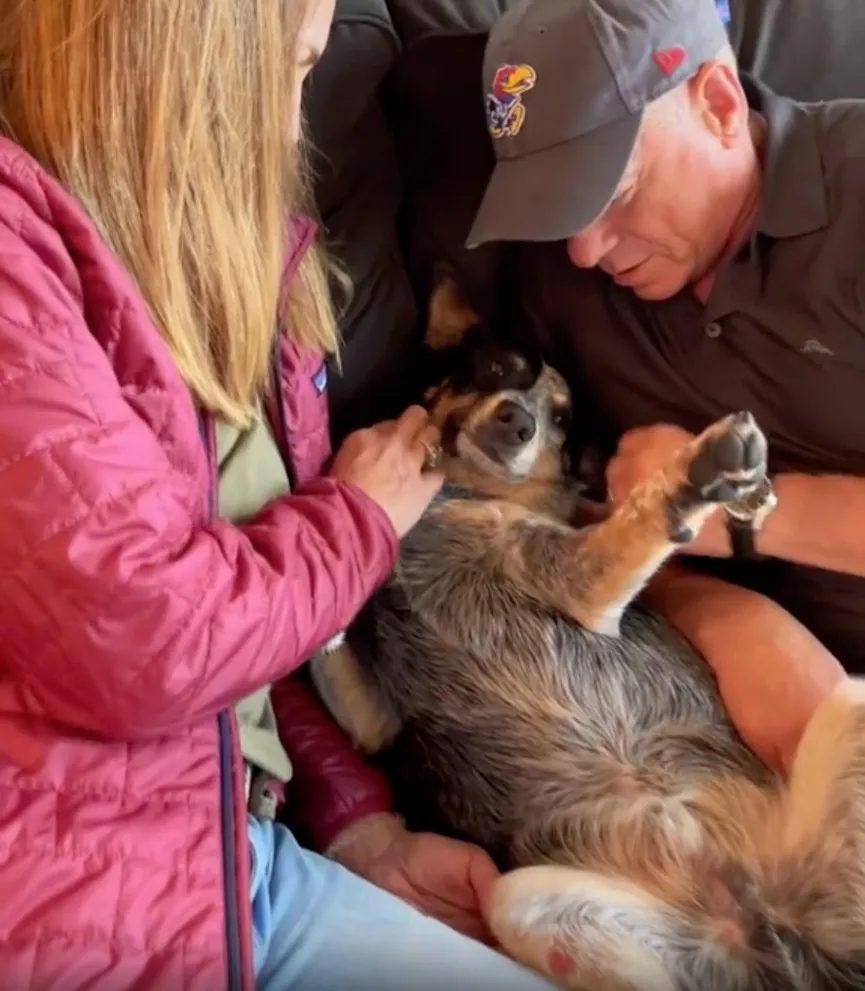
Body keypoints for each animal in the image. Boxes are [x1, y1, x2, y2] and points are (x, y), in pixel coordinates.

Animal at [314, 276, 864, 988]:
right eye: (495, 368)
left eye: (561, 421)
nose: (517, 421)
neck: (458, 496)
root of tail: (770, 927)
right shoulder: (371, 720)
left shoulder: (576, 582)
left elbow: (634, 515)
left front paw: (699, 477)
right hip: (526, 903)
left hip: (853, 699)